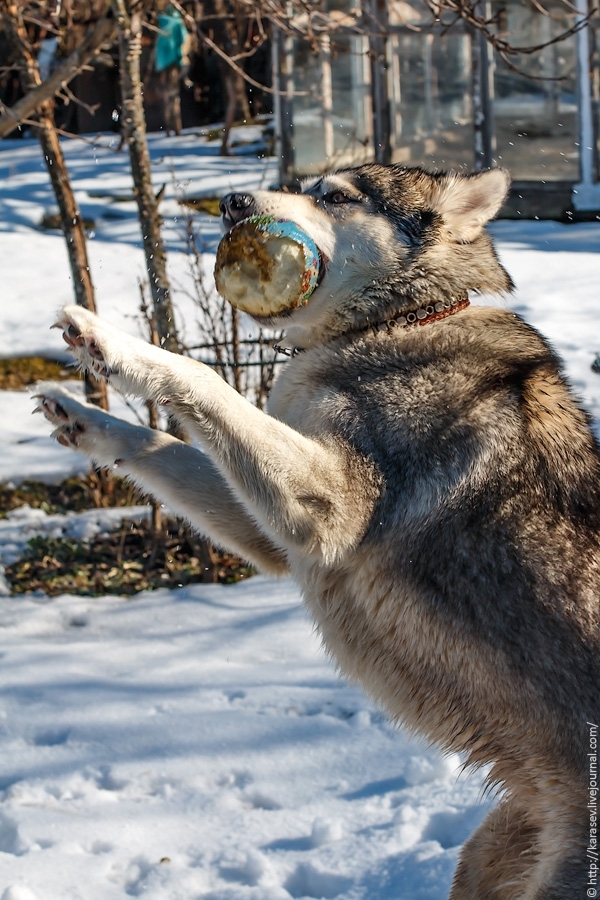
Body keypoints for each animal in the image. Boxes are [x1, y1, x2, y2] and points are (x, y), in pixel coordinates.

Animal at [36, 165, 600, 896]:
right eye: (305, 186)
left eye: (335, 196)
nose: (231, 202)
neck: (396, 323)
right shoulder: (272, 536)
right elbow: (160, 444)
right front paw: (83, 416)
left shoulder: (325, 513)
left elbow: (202, 375)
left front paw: (109, 344)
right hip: (486, 859)